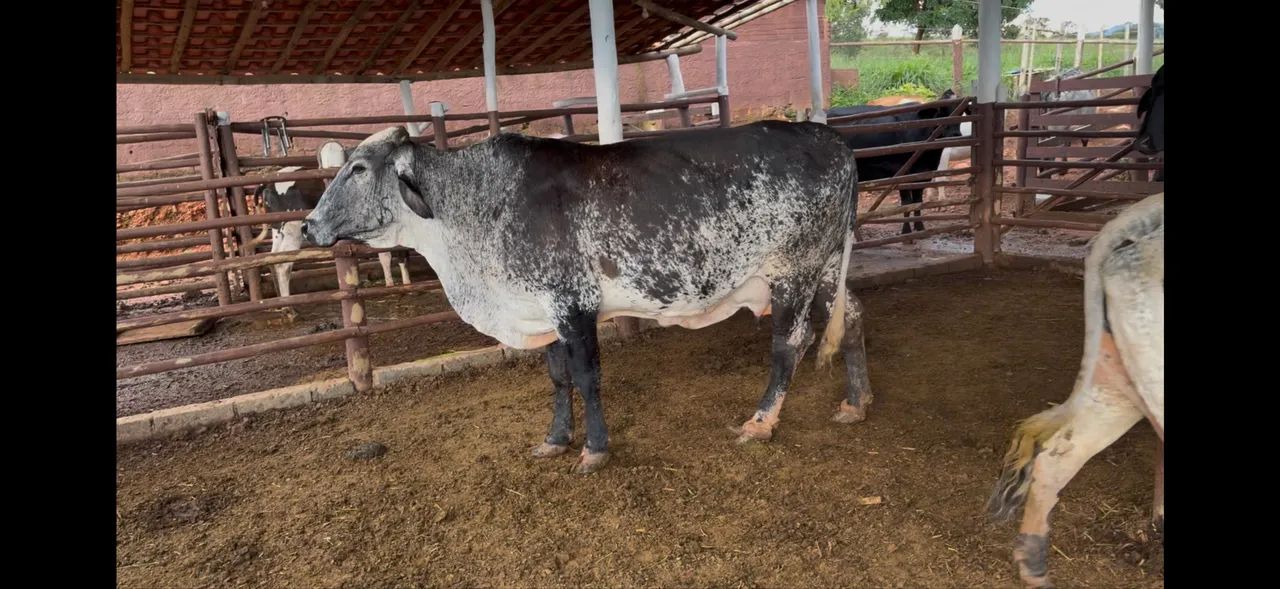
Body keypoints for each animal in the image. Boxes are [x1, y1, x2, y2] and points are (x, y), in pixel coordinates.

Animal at [257, 142, 410, 299]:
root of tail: (268, 183)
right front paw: (400, 285)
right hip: (292, 229)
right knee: (284, 264)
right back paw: (288, 300)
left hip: (278, 229)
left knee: (274, 257)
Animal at [302, 122, 873, 474]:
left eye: (358, 168)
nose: (307, 225)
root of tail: (832, 139)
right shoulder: (540, 311)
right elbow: (558, 377)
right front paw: (556, 440)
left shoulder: (573, 305)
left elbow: (586, 376)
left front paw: (595, 449)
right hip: (828, 268)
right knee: (852, 316)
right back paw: (856, 402)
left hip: (794, 272)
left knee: (789, 344)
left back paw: (762, 421)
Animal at [827, 89, 963, 235]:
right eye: (941, 111)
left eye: (961, 112)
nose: (955, 134)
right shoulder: (900, 175)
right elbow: (906, 203)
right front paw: (906, 231)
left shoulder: (921, 175)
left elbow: (917, 202)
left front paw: (919, 227)